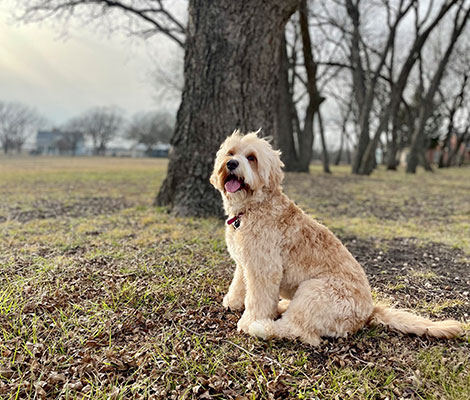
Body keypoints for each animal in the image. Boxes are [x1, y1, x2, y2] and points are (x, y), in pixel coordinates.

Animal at [210, 130, 462, 344]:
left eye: (251, 158)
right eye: (231, 153)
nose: (231, 164)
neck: (252, 208)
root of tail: (368, 313)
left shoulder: (263, 268)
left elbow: (258, 299)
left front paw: (248, 321)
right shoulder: (245, 263)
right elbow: (239, 283)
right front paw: (233, 302)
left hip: (315, 291)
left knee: (299, 330)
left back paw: (262, 327)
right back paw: (280, 307)